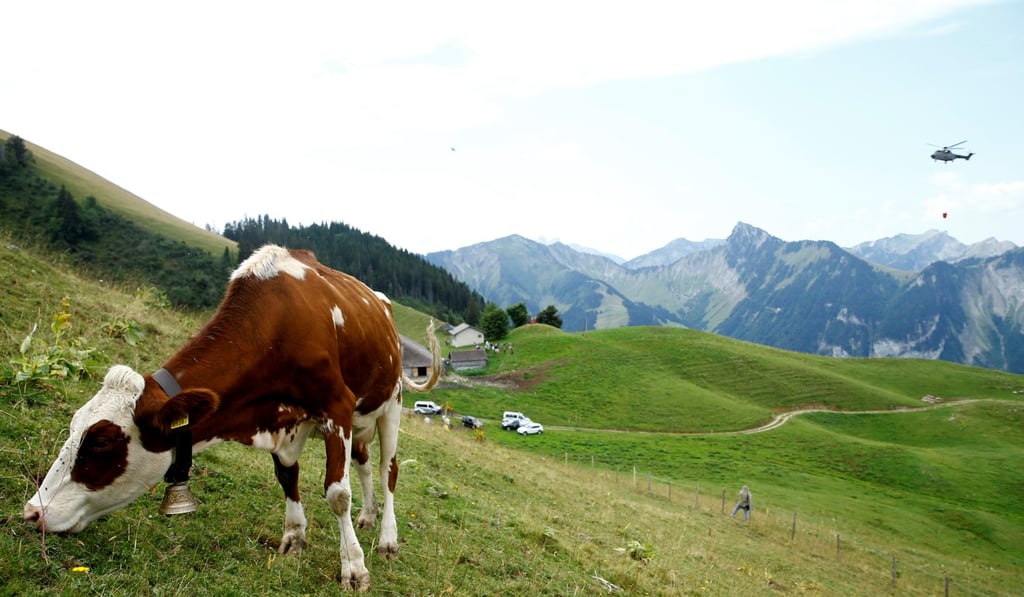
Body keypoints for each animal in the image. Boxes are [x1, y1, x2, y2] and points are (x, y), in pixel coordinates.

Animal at [23, 244, 442, 591]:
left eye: (101, 443)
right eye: (75, 428)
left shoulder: (335, 406)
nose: (32, 512)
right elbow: (287, 477)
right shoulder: (283, 421)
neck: (278, 328)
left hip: (390, 403)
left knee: (388, 470)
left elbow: (338, 494)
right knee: (365, 462)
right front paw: (294, 537)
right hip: (362, 417)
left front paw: (354, 567)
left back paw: (387, 538)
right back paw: (369, 516)